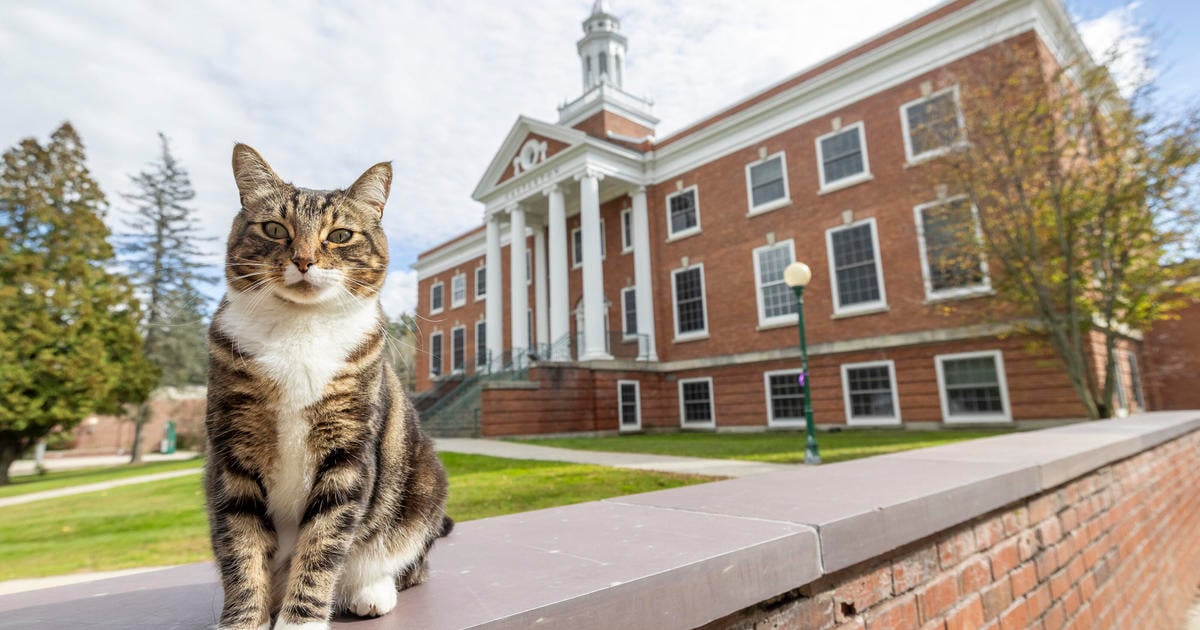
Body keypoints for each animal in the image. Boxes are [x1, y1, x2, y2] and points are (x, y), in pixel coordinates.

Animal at [206, 143, 451, 628]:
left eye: (339, 235)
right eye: (274, 228)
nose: (303, 260)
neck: (300, 329)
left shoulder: (347, 452)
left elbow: (322, 543)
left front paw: (300, 620)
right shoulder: (232, 453)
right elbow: (241, 548)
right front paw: (242, 620)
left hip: (424, 485)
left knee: (407, 562)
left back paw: (370, 591)